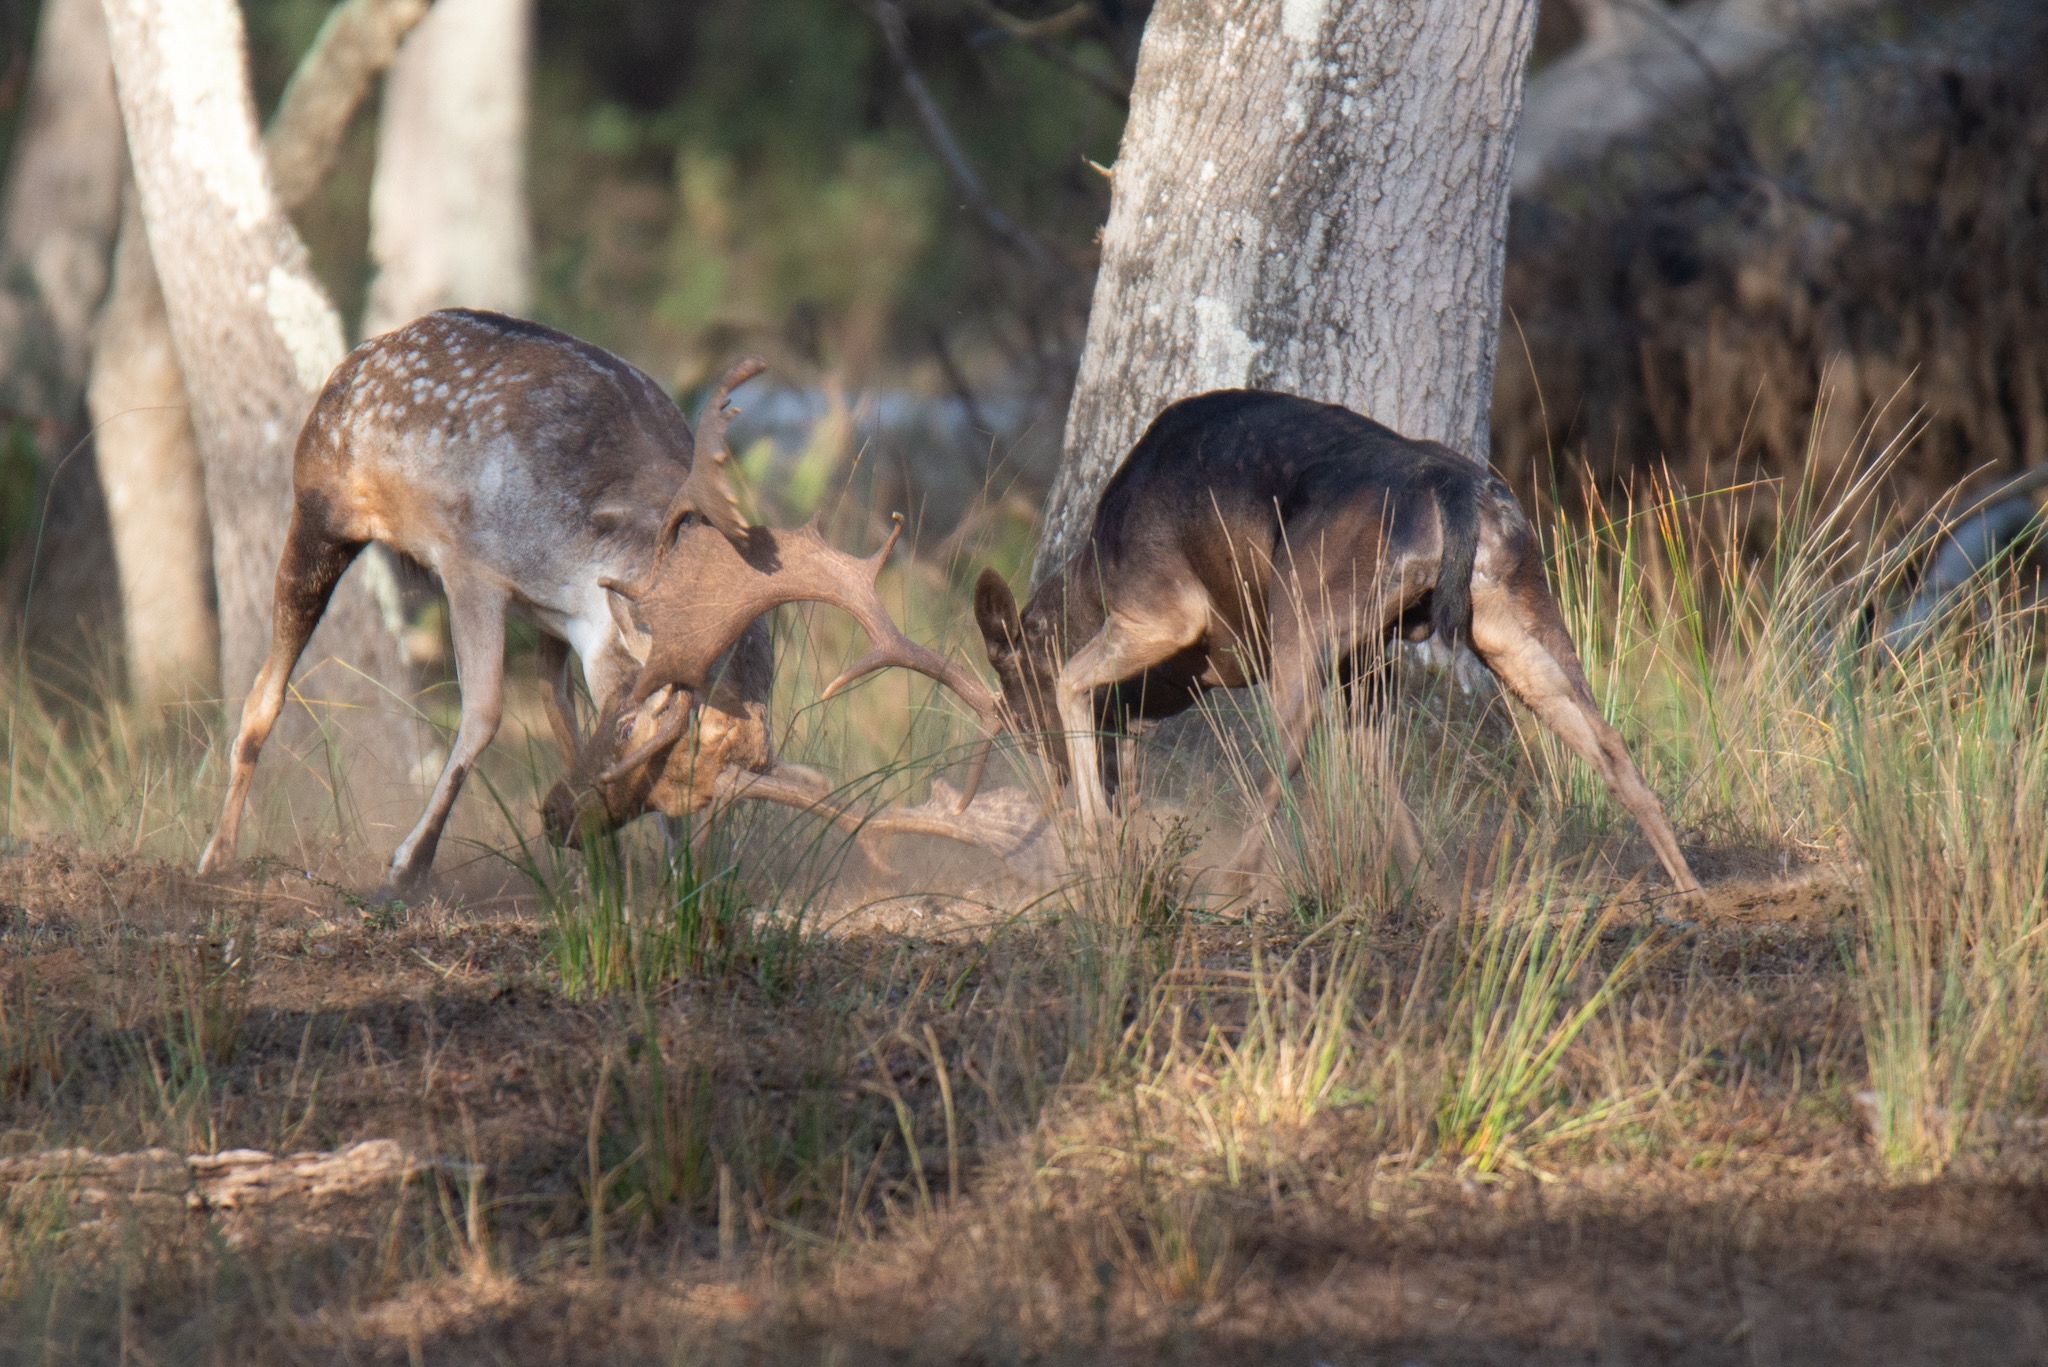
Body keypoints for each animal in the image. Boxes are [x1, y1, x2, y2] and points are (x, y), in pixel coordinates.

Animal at [197, 309, 1010, 895]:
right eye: (627, 731)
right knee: (266, 687)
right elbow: (485, 711)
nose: (557, 817)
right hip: (319, 501)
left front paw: (637, 882)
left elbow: (556, 714)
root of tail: (364, 351)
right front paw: (406, 866)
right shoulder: (471, 564)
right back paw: (217, 853)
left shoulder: (557, 624)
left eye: (676, 802)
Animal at [971, 389, 1705, 904]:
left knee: (1291, 737)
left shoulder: (1162, 612)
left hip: (1304, 604)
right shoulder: (1367, 658)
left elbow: (1073, 678)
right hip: (1509, 612)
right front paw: (1422, 875)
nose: (1054, 780)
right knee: (1603, 737)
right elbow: (1376, 763)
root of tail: (1459, 491)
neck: (1092, 580)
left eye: (1019, 708)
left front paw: (1096, 841)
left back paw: (1234, 880)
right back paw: (1687, 882)